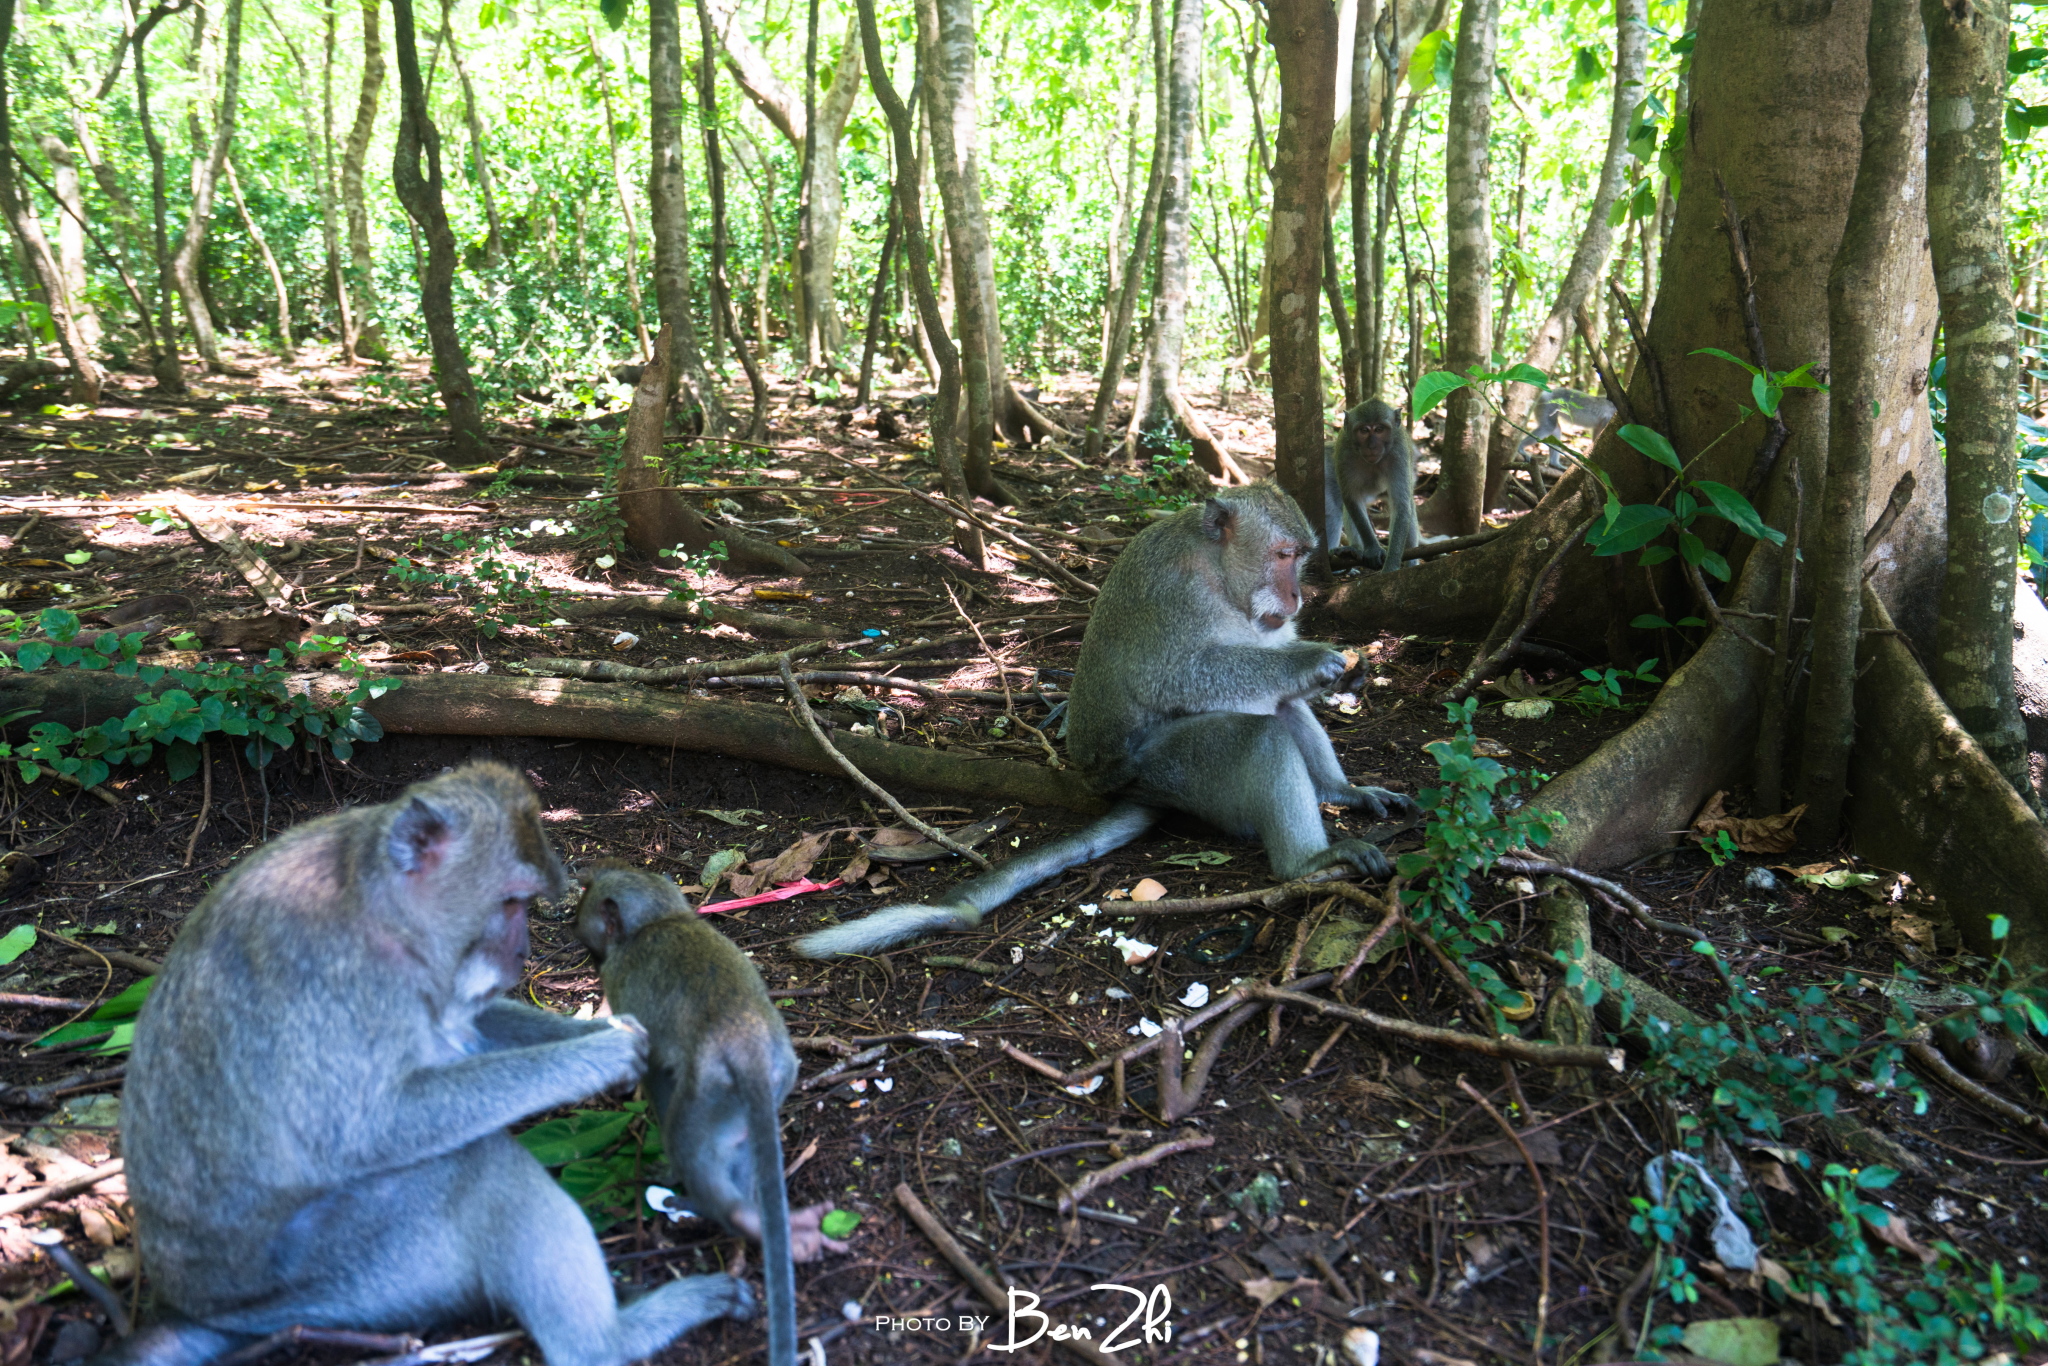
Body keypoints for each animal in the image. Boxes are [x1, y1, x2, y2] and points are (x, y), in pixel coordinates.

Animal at [105, 765, 753, 1359]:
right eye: (511, 901)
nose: (521, 952)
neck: (371, 899)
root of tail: (192, 1306)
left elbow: (471, 1026)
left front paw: (602, 1034)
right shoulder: (346, 982)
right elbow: (364, 1130)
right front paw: (602, 1052)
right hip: (346, 1275)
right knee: (474, 1168)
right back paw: (614, 1339)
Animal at [573, 864, 843, 1366]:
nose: (582, 946)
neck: (659, 920)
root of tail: (746, 1044)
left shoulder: (620, 982)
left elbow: (654, 1068)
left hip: (706, 1094)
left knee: (688, 1139)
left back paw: (731, 1214)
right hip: (773, 1079)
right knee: (740, 1148)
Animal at [790, 483, 1417, 962]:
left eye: (1303, 556)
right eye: (1285, 555)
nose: (1295, 596)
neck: (1217, 568)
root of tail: (1121, 785)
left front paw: (1346, 676)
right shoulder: (1176, 593)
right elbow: (1180, 677)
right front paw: (1313, 661)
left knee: (1280, 707)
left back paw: (1340, 791)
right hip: (1164, 770)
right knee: (1258, 734)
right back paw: (1305, 863)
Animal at [1318, 397, 1417, 573]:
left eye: (1379, 429)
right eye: (1364, 430)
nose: (1372, 446)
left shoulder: (1400, 453)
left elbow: (1401, 505)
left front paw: (1391, 565)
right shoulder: (1343, 451)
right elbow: (1351, 499)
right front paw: (1373, 549)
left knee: (1408, 504)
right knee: (1337, 510)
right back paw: (1352, 550)